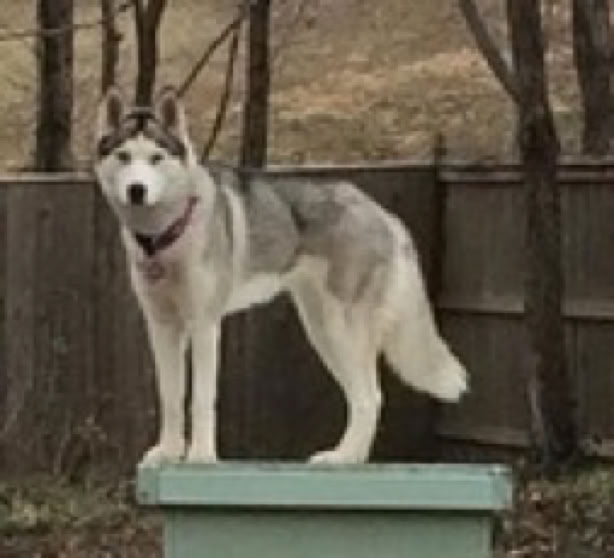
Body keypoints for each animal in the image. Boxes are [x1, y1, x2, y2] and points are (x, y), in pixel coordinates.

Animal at [93, 86, 468, 466]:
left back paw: (343, 459)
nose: (136, 189)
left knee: (371, 397)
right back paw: (346, 457)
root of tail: (380, 212)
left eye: (156, 158)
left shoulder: (204, 325)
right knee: (363, 397)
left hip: (342, 327)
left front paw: (200, 457)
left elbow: (200, 399)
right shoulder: (163, 326)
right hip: (321, 330)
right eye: (124, 156)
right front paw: (168, 453)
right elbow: (170, 397)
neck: (165, 234)